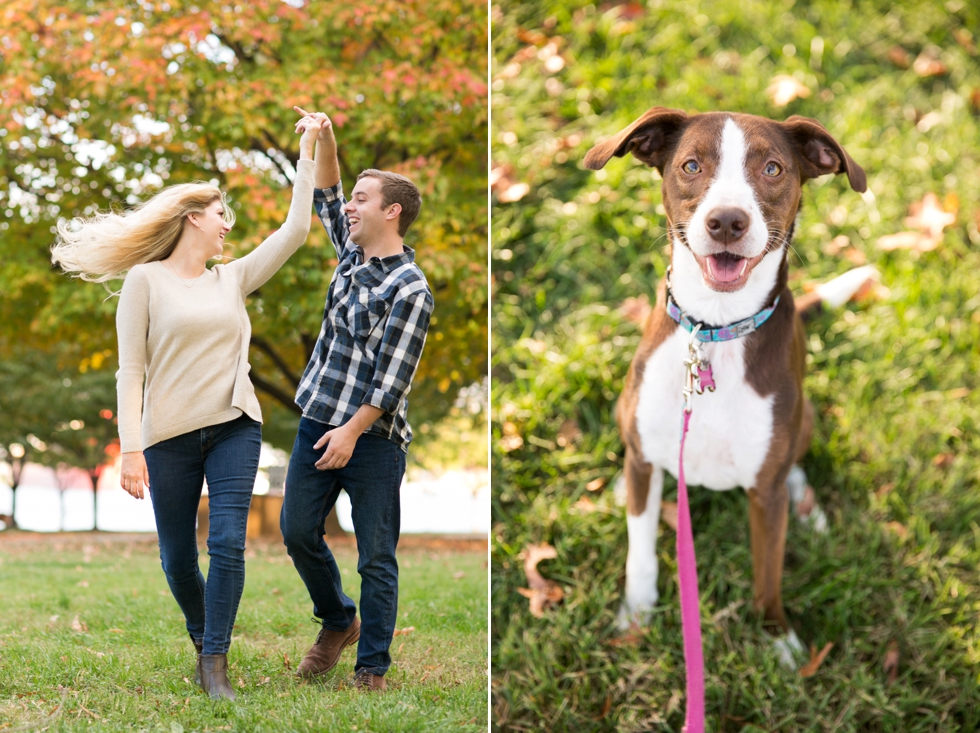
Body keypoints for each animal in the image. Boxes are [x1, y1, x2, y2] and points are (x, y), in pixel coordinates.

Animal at [584, 107, 868, 664]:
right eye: (691, 165)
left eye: (773, 169)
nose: (727, 222)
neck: (714, 330)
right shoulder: (647, 456)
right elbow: (641, 552)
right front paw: (636, 615)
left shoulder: (765, 497)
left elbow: (768, 572)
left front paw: (777, 637)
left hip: (804, 418)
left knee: (794, 462)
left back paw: (807, 504)